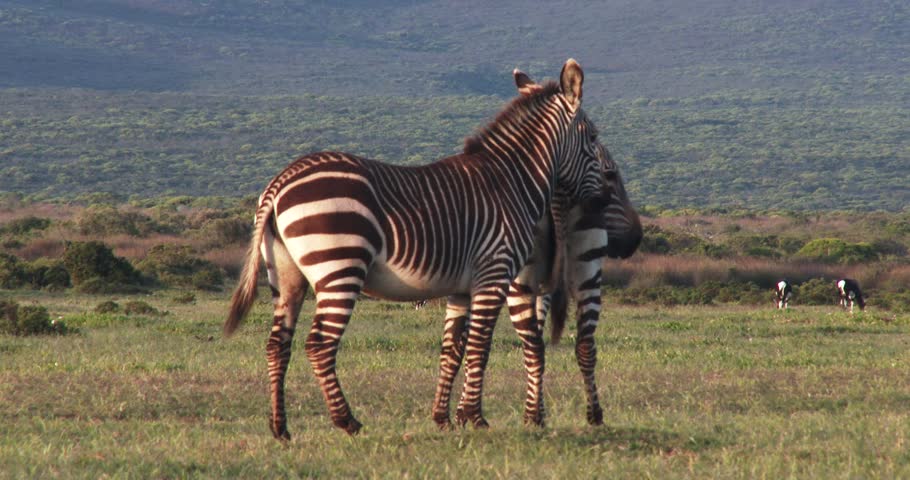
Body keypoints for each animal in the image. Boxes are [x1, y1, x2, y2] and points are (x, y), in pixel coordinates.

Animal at [226, 59, 612, 438]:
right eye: (593, 137)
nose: (605, 197)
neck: (512, 182)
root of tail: (280, 182)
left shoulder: (462, 288)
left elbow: (452, 349)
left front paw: (446, 418)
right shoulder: (494, 273)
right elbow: (480, 346)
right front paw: (476, 419)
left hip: (286, 276)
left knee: (278, 344)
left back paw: (280, 428)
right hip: (340, 268)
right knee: (319, 345)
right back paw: (347, 421)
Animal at [432, 72, 644, 428]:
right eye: (611, 174)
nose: (636, 239)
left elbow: (463, 343)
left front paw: (455, 413)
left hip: (521, 276)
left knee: (533, 346)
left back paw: (531, 417)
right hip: (587, 265)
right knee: (581, 344)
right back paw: (588, 415)